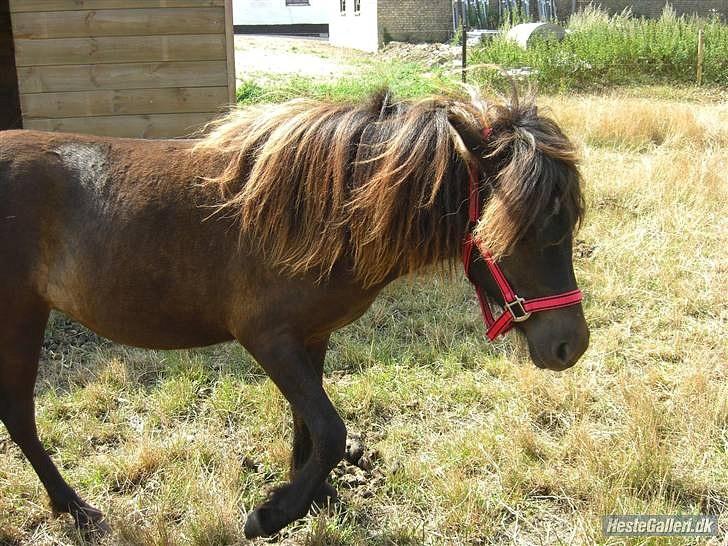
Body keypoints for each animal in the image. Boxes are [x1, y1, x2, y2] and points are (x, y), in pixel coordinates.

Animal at [0, 88, 588, 536]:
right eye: (523, 226)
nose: (570, 346)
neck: (326, 208)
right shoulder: (268, 338)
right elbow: (329, 428)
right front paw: (274, 512)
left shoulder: (312, 336)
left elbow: (307, 425)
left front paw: (315, 495)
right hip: (20, 318)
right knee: (20, 414)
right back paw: (76, 508)